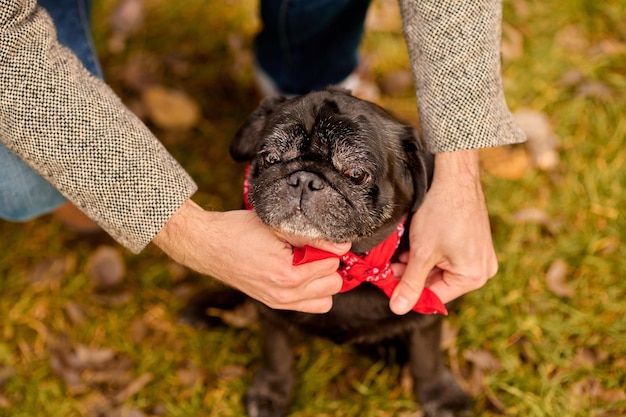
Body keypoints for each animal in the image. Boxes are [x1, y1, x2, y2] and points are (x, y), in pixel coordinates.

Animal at [185, 88, 468, 416]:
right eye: (270, 158)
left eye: (356, 174)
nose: (305, 178)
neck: (345, 265)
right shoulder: (271, 311)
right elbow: (276, 355)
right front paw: (271, 392)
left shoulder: (424, 313)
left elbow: (427, 359)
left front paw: (441, 394)